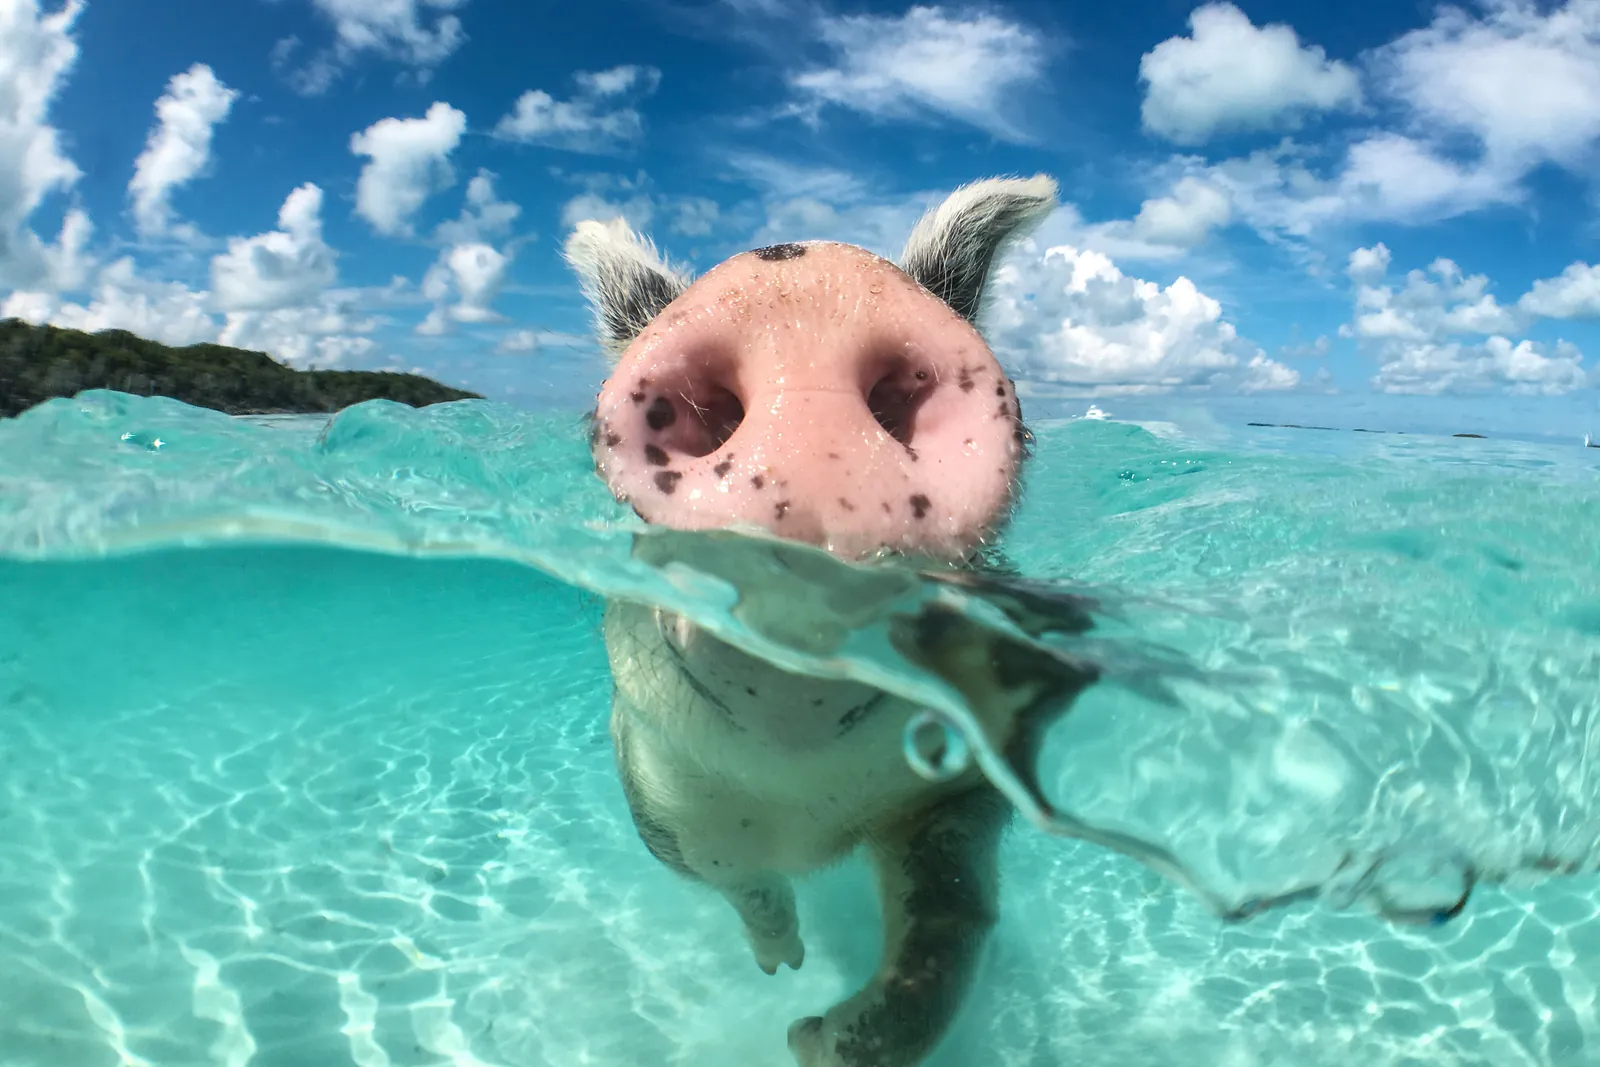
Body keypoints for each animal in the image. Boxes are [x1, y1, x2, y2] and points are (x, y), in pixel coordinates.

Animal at [563, 175, 1097, 1067]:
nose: (802, 283)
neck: (804, 800)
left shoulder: (961, 780)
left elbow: (950, 917)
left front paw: (812, 1037)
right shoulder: (656, 790)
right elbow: (739, 880)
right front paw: (783, 972)